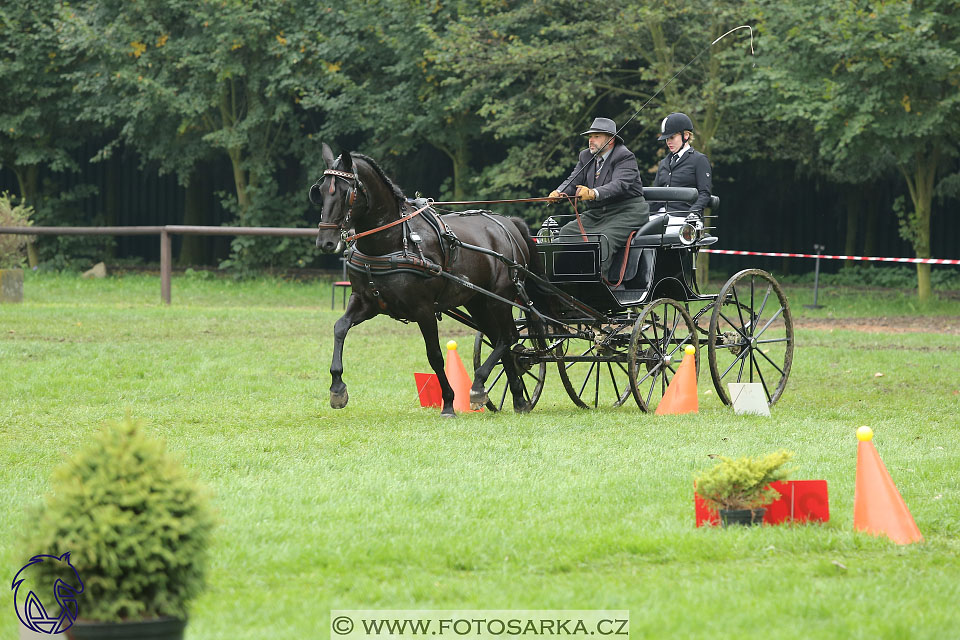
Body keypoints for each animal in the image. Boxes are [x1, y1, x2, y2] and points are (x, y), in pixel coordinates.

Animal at [314, 142, 540, 418]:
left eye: (347, 193)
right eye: (320, 191)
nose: (325, 242)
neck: (392, 242)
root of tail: (508, 223)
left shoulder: (423, 309)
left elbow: (435, 355)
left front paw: (449, 403)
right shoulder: (365, 301)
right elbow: (340, 327)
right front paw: (337, 389)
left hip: (500, 298)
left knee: (508, 337)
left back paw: (478, 386)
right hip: (478, 301)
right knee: (500, 338)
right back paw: (517, 398)